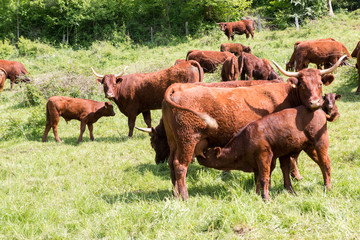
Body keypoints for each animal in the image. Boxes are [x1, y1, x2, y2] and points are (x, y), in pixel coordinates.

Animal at [200, 106, 332, 202]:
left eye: (207, 153)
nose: (199, 156)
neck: (245, 140)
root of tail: (320, 111)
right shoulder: (257, 164)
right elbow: (258, 178)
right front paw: (257, 194)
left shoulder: (264, 157)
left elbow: (264, 178)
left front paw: (266, 198)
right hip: (310, 148)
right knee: (322, 163)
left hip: (320, 143)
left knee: (325, 163)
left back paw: (327, 188)